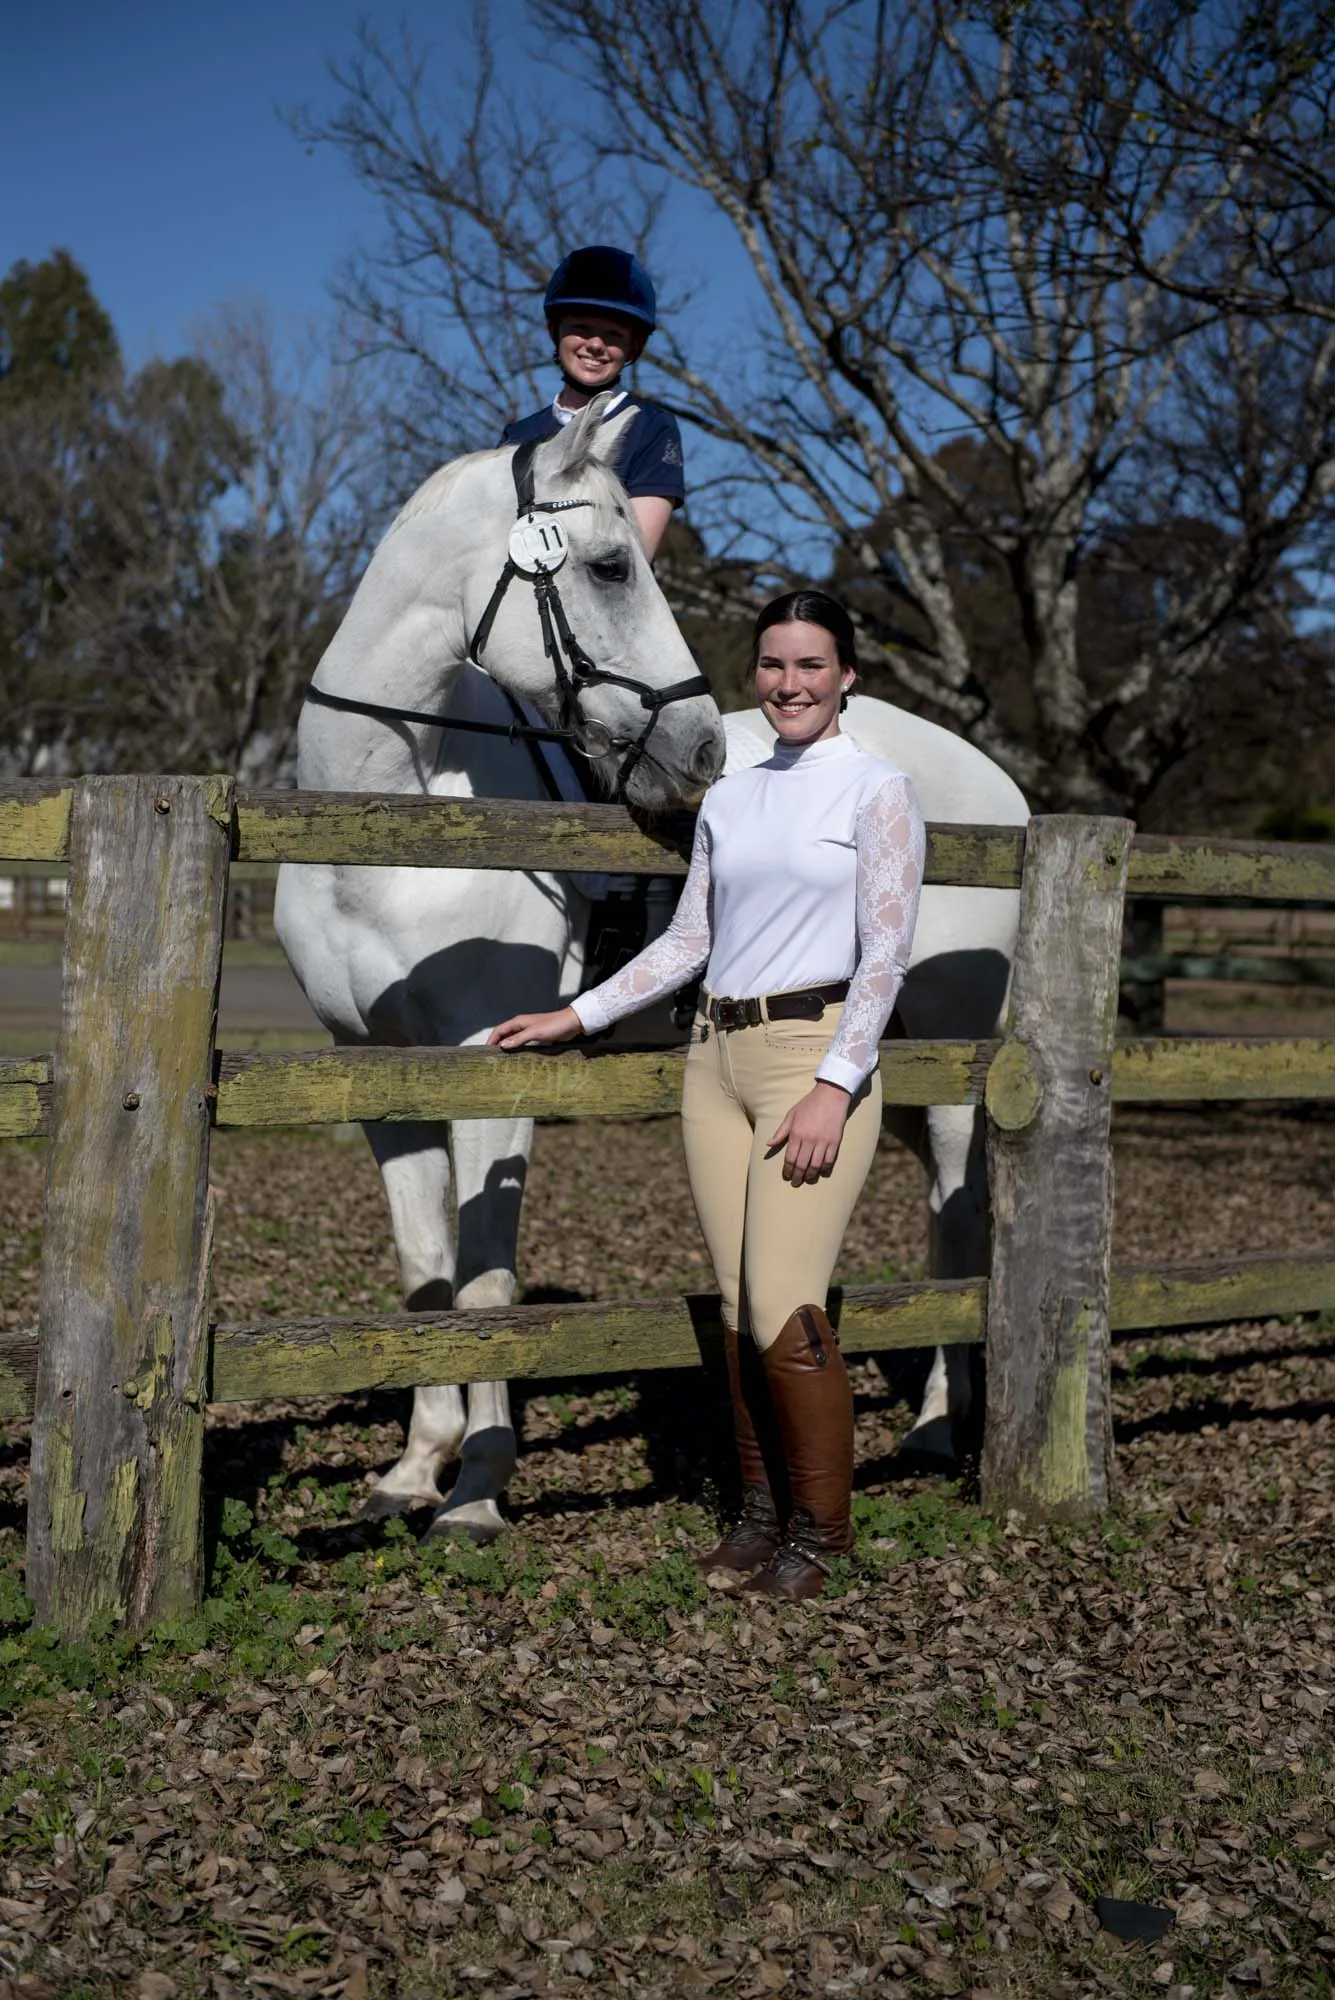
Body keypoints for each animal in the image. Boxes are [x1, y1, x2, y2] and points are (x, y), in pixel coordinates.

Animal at [279, 402, 1031, 1528]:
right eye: (607, 567)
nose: (701, 751)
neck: (390, 824)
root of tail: (1003, 788)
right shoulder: (376, 1072)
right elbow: (425, 1274)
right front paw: (413, 1469)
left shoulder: (489, 1071)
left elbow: (486, 1282)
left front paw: (477, 1489)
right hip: (878, 1062)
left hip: (949, 1050)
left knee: (959, 1213)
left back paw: (938, 1427)